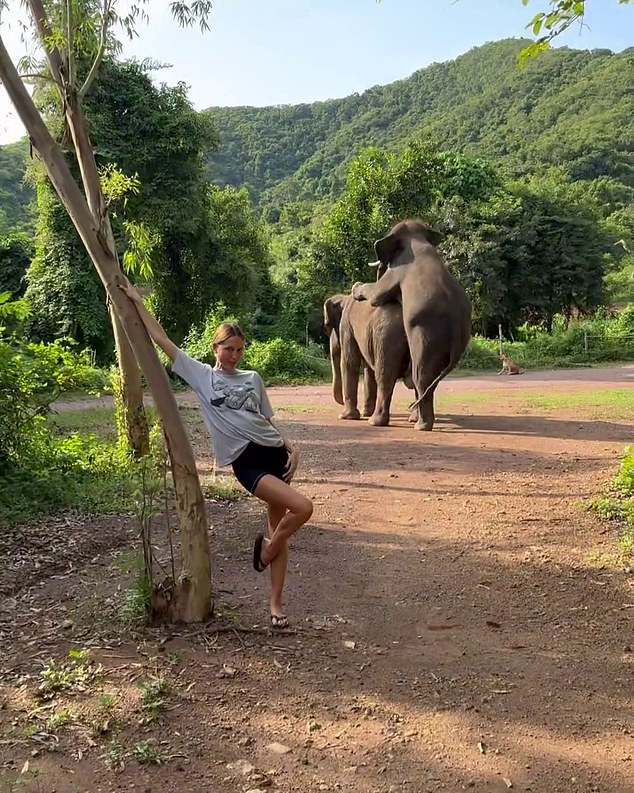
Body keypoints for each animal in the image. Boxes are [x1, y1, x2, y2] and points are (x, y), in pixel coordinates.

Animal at [350, 218, 470, 434]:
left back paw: (420, 426)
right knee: (428, 378)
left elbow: (377, 295)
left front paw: (356, 287)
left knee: (420, 375)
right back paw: (419, 421)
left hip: (428, 332)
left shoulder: (396, 271)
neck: (417, 239)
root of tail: (457, 320)